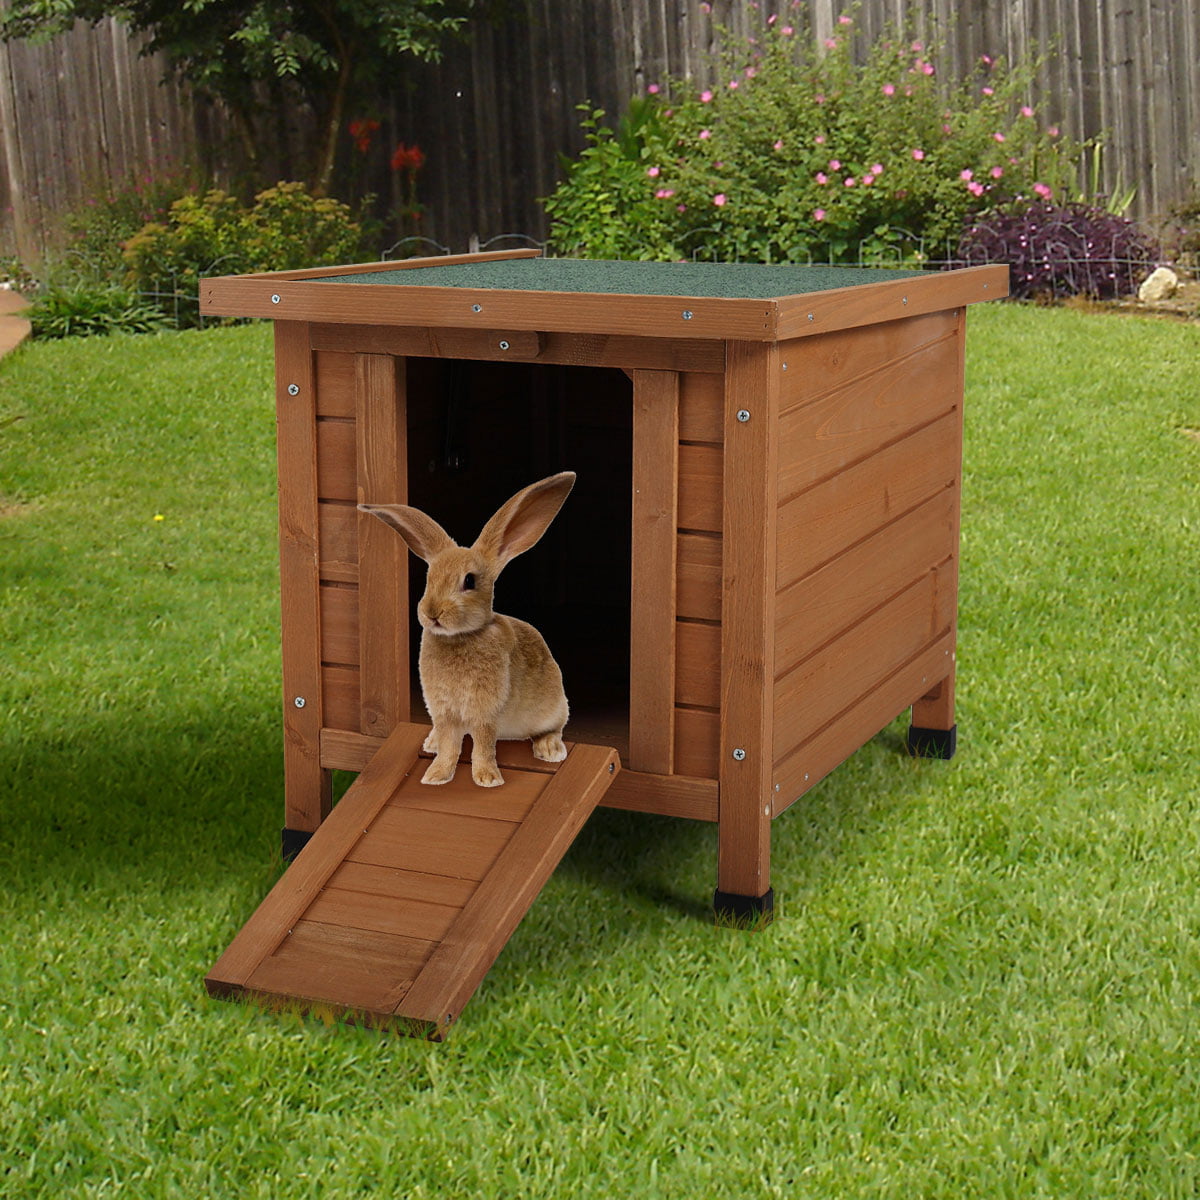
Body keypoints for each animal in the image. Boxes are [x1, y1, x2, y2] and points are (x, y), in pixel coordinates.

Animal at [355, 468, 576, 787]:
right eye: (429, 578)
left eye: (469, 581)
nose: (431, 613)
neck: (460, 637)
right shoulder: (444, 711)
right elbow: (450, 744)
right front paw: (435, 776)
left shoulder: (484, 712)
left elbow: (482, 744)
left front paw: (487, 779)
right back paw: (431, 743)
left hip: (553, 703)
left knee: (553, 726)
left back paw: (550, 750)